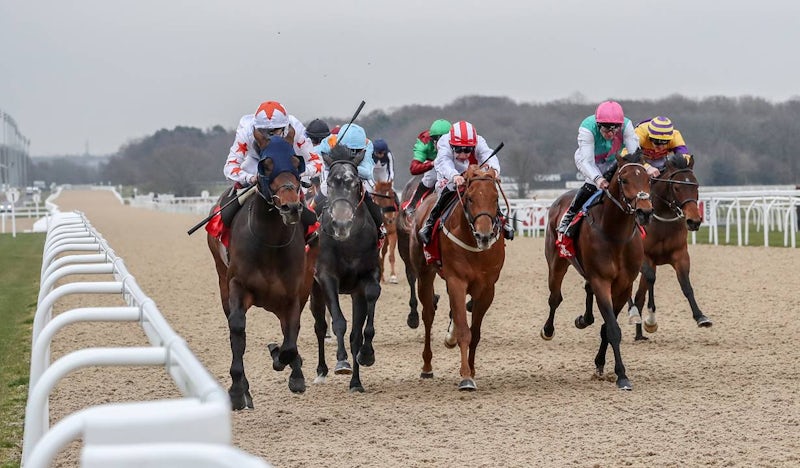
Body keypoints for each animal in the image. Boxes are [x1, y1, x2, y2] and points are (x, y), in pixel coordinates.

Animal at [207, 129, 317, 409]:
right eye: (266, 165)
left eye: (296, 162)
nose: (291, 207)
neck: (270, 243)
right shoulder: (237, 285)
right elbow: (237, 329)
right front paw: (237, 390)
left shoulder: (294, 292)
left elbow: (290, 339)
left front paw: (288, 365)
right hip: (222, 280)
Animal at [310, 145, 381, 392]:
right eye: (330, 182)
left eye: (355, 183)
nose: (341, 224)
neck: (348, 243)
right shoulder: (326, 277)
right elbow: (339, 322)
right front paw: (342, 362)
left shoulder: (365, 280)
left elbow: (360, 331)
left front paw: (366, 355)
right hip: (313, 288)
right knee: (320, 326)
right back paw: (321, 371)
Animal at [409, 165, 506, 391]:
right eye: (469, 198)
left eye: (495, 197)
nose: (484, 236)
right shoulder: (457, 281)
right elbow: (464, 330)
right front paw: (466, 377)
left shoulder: (487, 288)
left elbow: (475, 333)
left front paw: (472, 369)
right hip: (424, 273)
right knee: (428, 315)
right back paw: (427, 366)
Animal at [541, 160, 653, 391]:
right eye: (625, 180)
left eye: (648, 179)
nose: (645, 212)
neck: (616, 235)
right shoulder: (602, 281)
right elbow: (612, 329)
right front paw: (622, 376)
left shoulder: (624, 285)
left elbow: (606, 328)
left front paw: (601, 363)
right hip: (556, 263)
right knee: (555, 298)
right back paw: (548, 330)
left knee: (586, 291)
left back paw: (584, 319)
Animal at [628, 153, 711, 339]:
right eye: (677, 187)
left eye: (696, 185)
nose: (694, 221)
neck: (662, 220)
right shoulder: (646, 258)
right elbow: (651, 279)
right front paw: (651, 321)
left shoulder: (680, 255)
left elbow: (686, 285)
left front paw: (700, 316)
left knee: (639, 296)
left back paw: (639, 334)